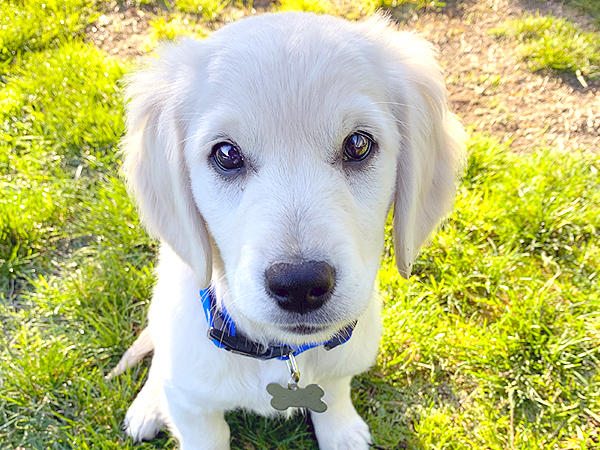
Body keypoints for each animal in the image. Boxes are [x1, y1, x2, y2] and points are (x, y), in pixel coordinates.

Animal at [113, 11, 468, 450]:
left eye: (358, 144)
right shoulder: (195, 412)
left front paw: (341, 431)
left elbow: (334, 391)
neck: (286, 354)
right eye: (226, 154)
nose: (300, 284)